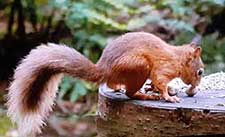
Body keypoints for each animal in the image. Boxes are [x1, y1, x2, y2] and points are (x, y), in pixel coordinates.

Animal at [6, 32, 204, 136]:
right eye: (200, 72)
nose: (195, 88)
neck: (177, 58)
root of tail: (104, 68)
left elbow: (157, 83)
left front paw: (163, 89)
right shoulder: (162, 68)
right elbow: (160, 81)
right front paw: (168, 96)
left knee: (112, 83)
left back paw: (122, 88)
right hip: (139, 67)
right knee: (129, 93)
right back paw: (144, 95)